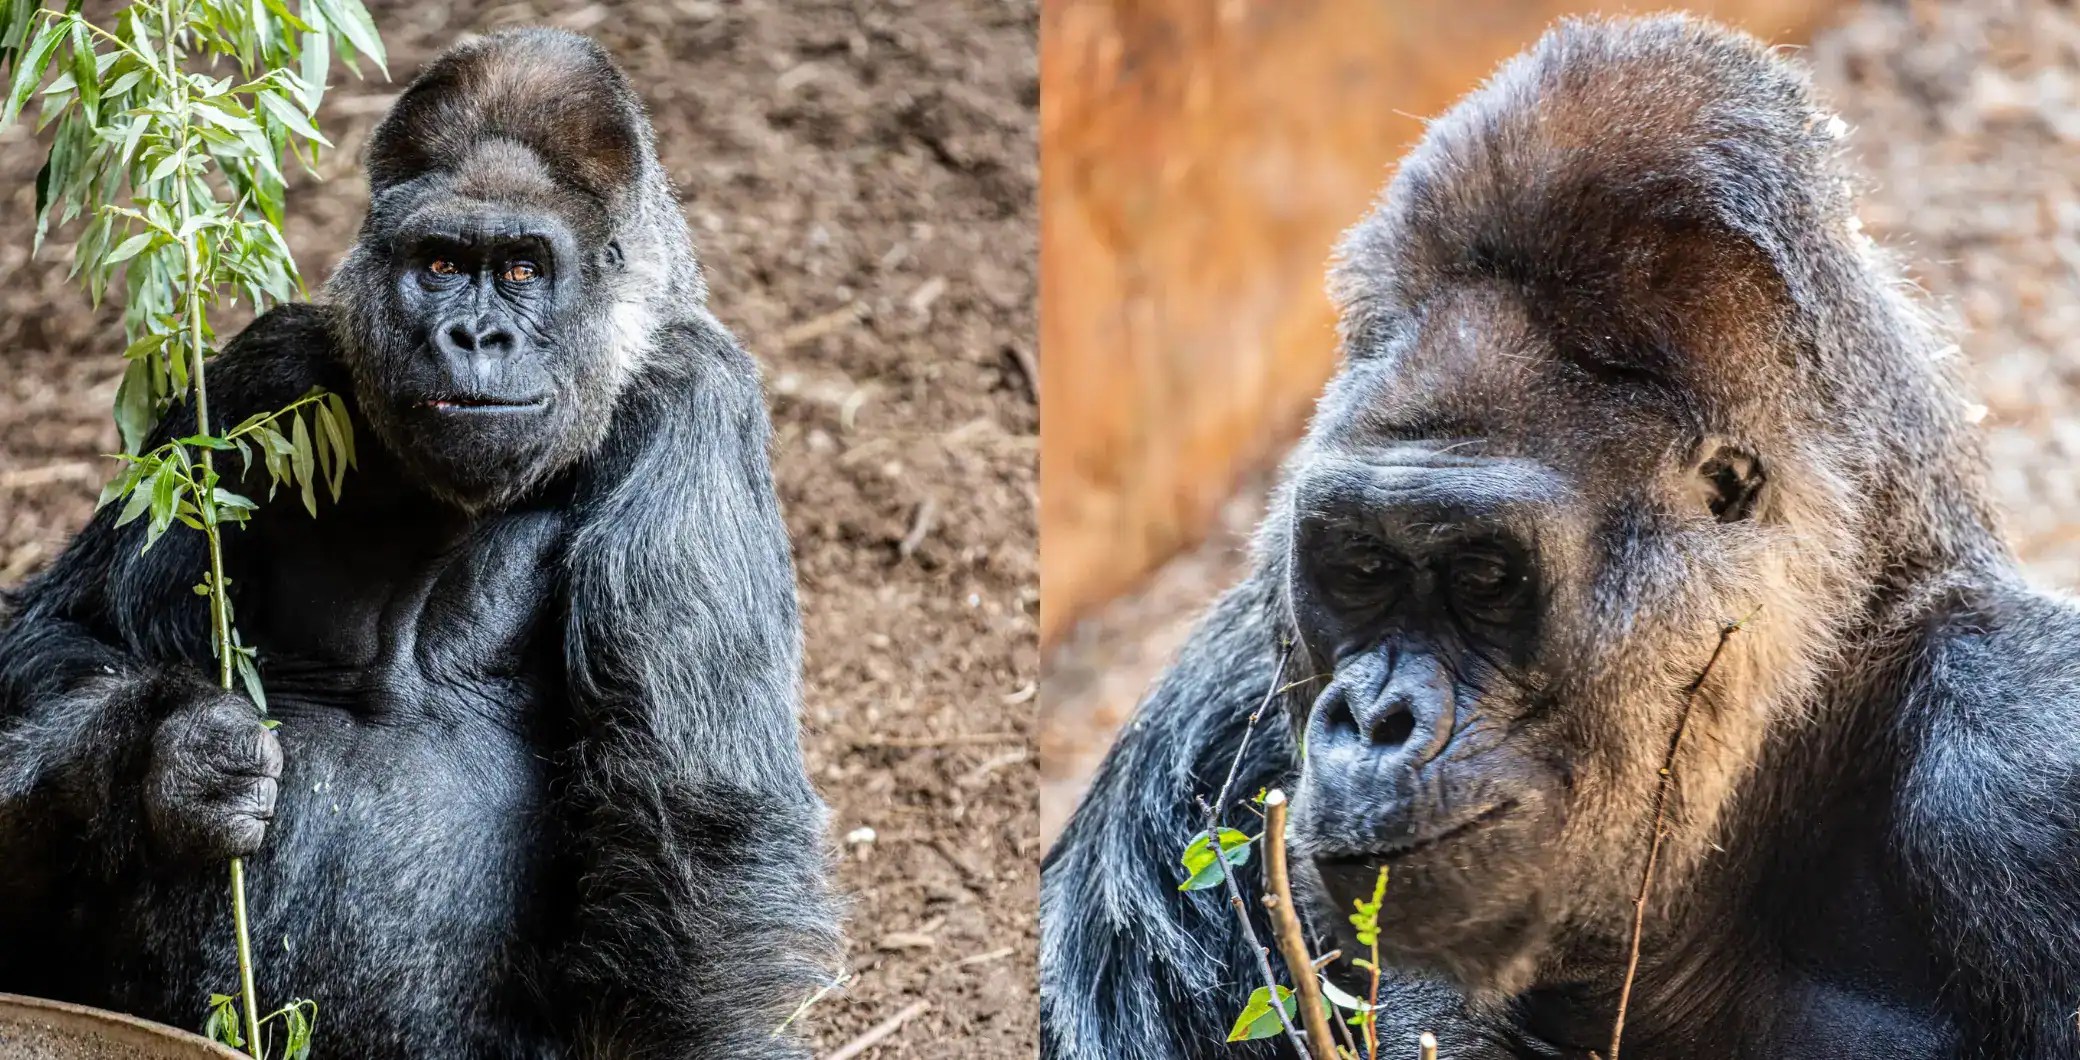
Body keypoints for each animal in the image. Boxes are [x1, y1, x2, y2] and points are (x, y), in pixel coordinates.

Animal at [0, 29, 839, 1058]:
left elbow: (697, 841)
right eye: (439, 264)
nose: (472, 335)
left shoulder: (696, 398)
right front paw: (180, 757)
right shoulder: (249, 381)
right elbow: (68, 635)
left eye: (522, 269)